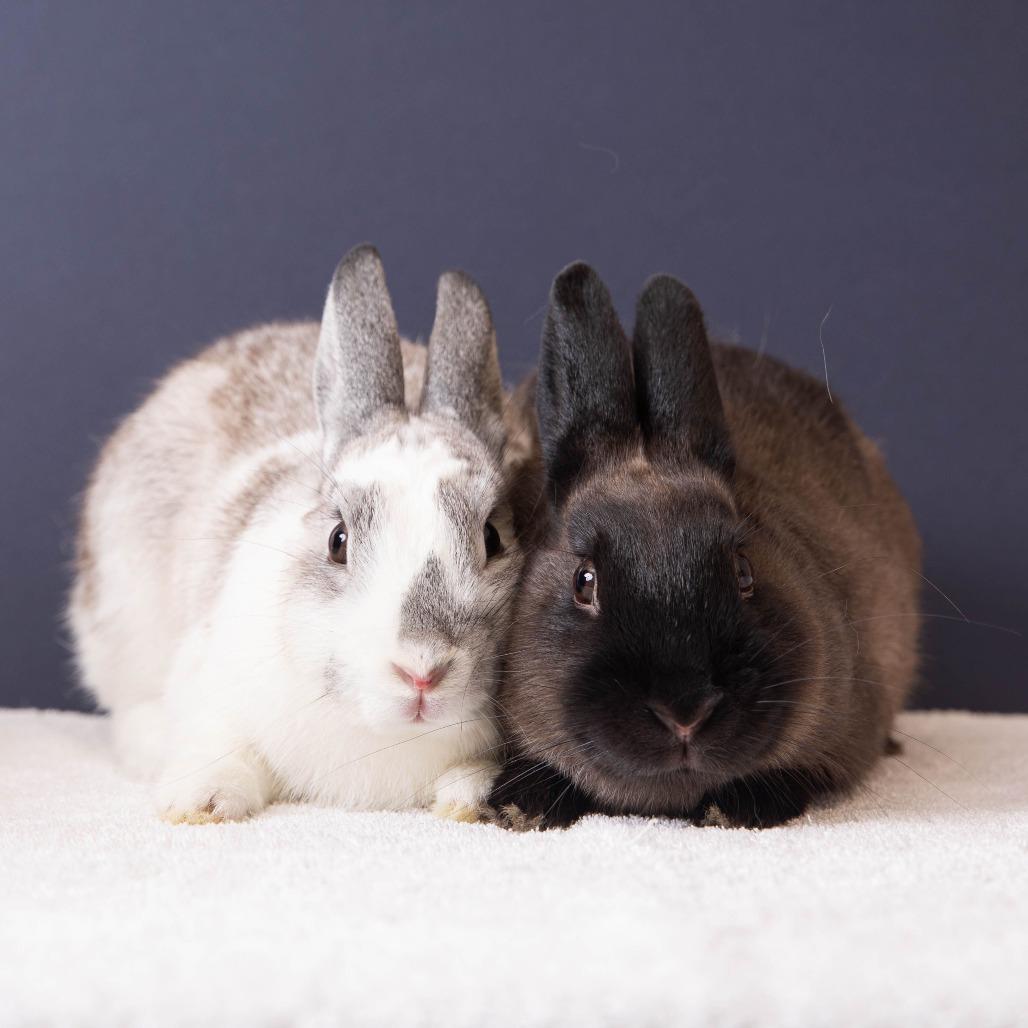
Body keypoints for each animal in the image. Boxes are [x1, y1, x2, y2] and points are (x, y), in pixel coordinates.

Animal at [68, 244, 523, 824]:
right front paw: (201, 800)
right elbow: (223, 744)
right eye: (338, 541)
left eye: (492, 538)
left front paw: (471, 797)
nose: (421, 669)